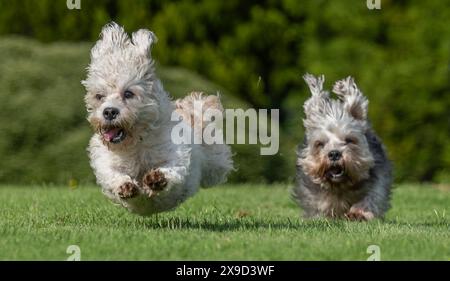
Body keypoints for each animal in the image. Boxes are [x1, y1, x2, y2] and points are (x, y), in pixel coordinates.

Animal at [82, 23, 234, 214]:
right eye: (99, 96)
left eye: (128, 93)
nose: (109, 112)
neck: (136, 142)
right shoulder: (105, 161)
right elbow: (112, 175)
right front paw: (124, 185)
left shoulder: (176, 151)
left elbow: (174, 168)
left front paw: (157, 178)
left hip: (216, 163)